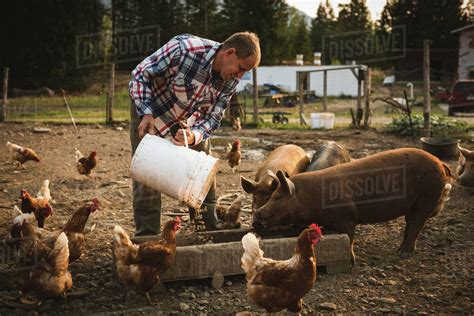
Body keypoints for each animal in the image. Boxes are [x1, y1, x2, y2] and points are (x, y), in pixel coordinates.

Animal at [254, 148, 454, 264]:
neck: (311, 197)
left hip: (427, 197)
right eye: (273, 195)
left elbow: (349, 239)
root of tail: (441, 163)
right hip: (414, 204)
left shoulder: (348, 217)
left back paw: (402, 254)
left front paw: (352, 262)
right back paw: (400, 250)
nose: (257, 212)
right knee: (410, 223)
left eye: (278, 196)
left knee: (417, 224)